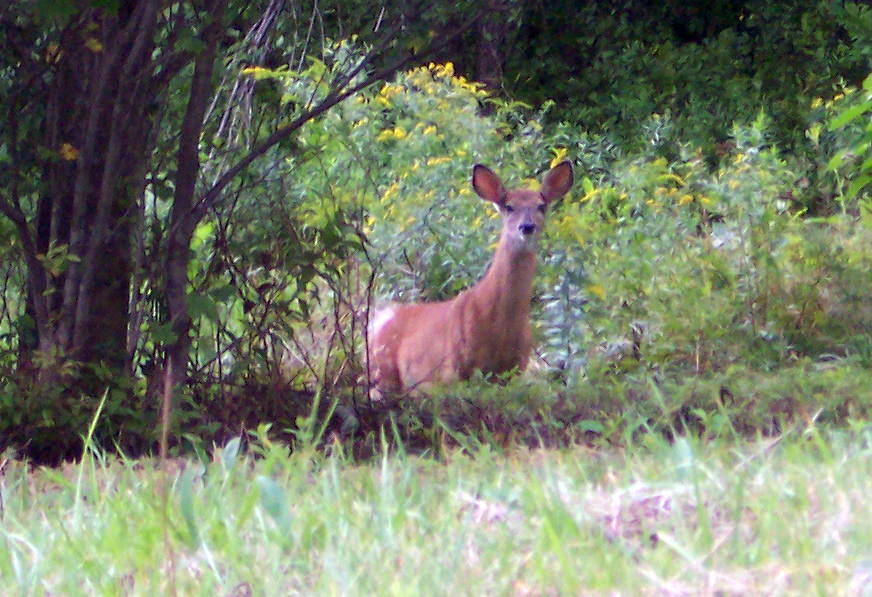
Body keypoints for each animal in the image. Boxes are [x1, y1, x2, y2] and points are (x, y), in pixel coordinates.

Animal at [368, 160, 574, 395]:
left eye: (541, 206)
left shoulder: (514, 370)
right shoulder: (455, 370)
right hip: (383, 369)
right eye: (509, 206)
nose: (527, 227)